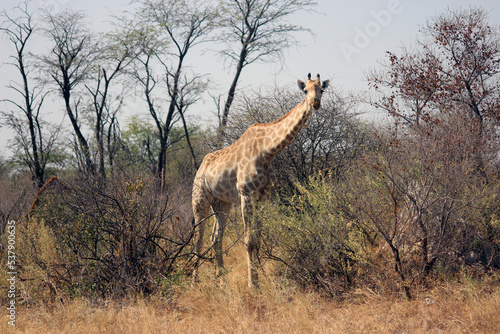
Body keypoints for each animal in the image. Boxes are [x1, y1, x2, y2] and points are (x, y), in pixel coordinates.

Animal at [190, 73, 328, 288]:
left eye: (322, 89)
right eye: (305, 90)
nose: (315, 103)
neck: (267, 152)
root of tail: (200, 168)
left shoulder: (264, 196)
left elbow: (259, 238)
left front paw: (262, 279)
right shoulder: (246, 194)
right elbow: (249, 240)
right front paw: (252, 284)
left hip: (222, 203)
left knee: (216, 237)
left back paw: (221, 281)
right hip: (200, 199)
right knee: (199, 237)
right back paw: (195, 282)